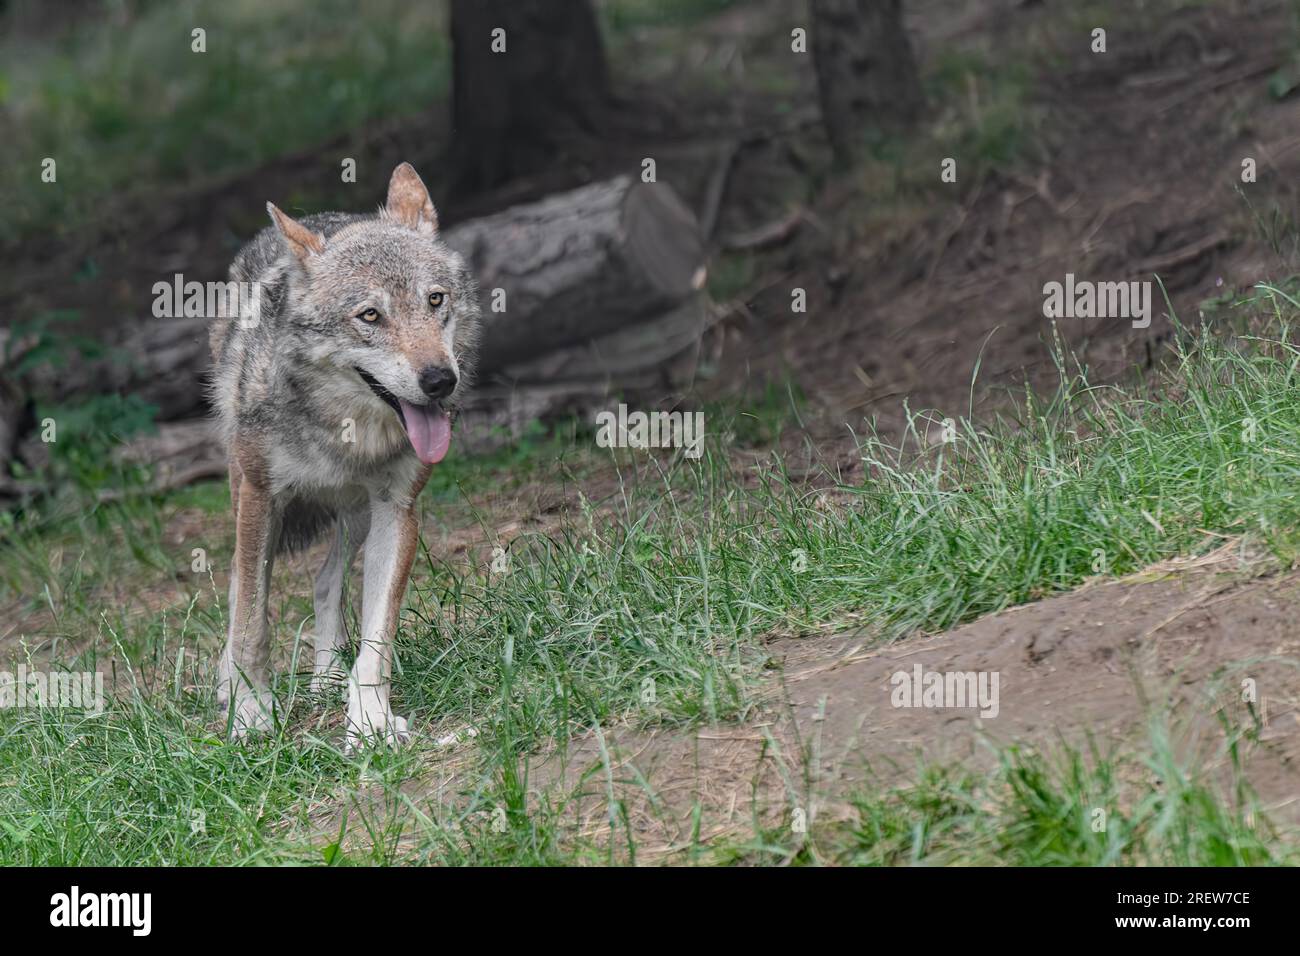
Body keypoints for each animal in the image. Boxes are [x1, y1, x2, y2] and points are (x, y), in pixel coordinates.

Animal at [210, 162, 480, 749]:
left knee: (323, 578)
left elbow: (378, 632)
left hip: (355, 517)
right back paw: (229, 681)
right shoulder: (261, 496)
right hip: (244, 495)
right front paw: (250, 712)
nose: (440, 381)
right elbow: (252, 619)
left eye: (435, 300)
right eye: (370, 315)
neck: (344, 430)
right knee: (239, 588)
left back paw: (328, 674)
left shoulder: (398, 510)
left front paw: (370, 718)